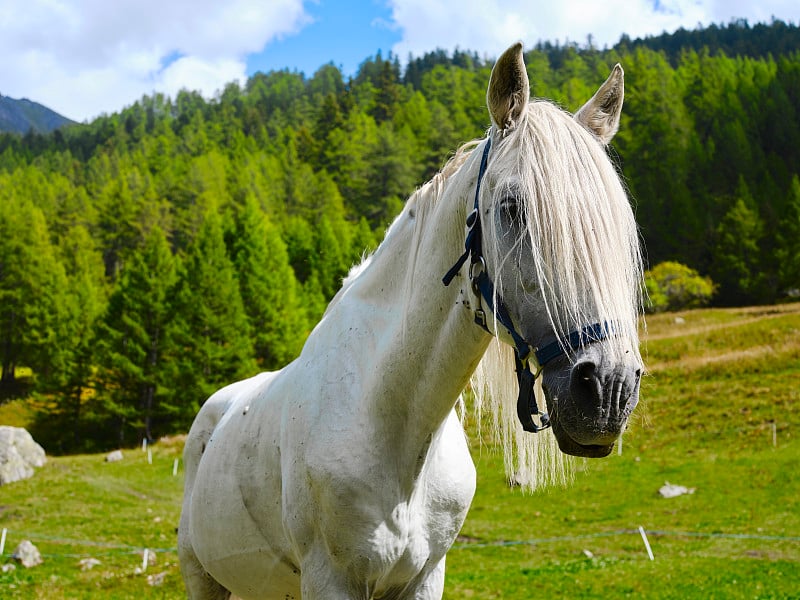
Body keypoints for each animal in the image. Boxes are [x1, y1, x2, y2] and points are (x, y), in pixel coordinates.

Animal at [178, 43, 640, 600]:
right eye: (512, 206)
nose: (609, 391)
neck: (394, 423)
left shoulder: (425, 576)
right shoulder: (329, 579)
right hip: (203, 578)